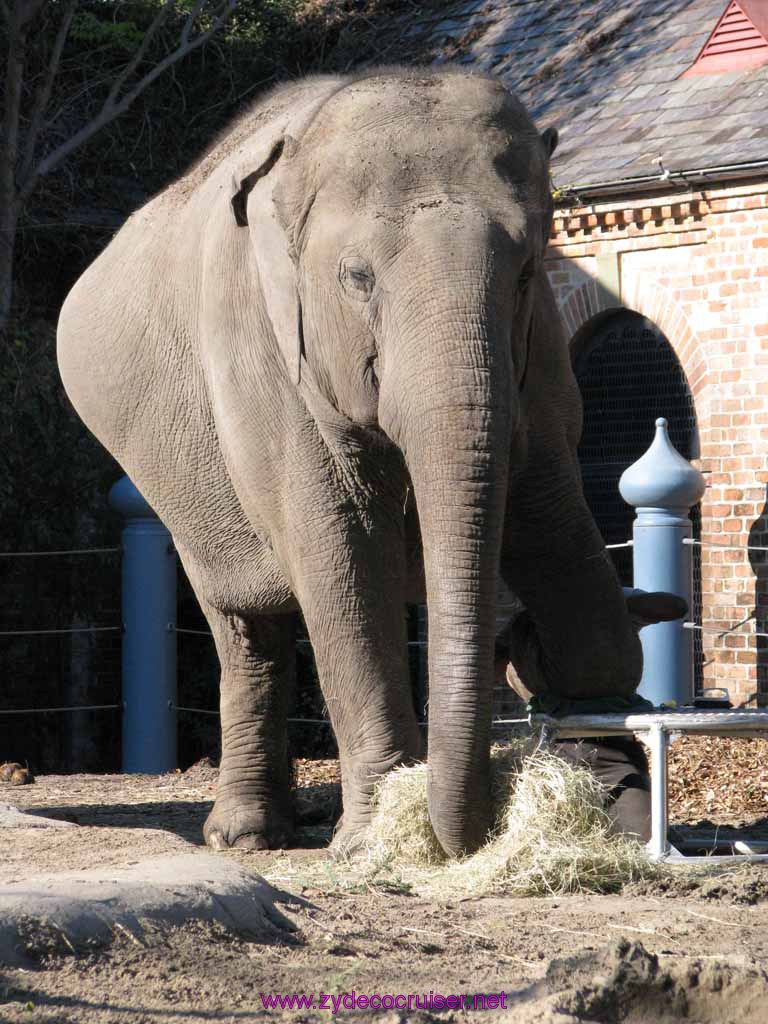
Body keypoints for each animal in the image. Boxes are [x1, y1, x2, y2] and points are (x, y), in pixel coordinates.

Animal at [58, 67, 650, 859]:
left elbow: (555, 523)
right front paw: (377, 841)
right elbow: (343, 559)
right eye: (358, 278)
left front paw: (619, 801)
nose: (466, 834)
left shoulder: (543, 362)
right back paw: (245, 837)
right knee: (244, 627)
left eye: (527, 272)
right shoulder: (272, 359)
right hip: (178, 491)